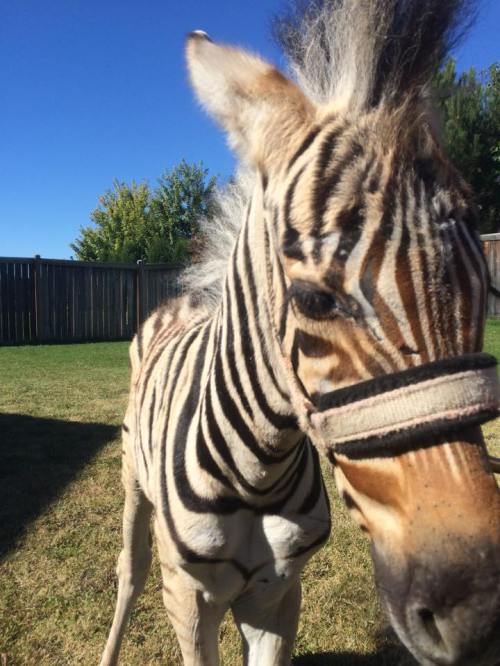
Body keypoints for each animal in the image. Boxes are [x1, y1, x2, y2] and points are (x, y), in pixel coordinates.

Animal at [100, 1, 500, 665]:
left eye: (485, 289)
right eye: (311, 299)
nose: (479, 617)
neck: (256, 472)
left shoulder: (279, 597)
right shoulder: (189, 601)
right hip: (134, 480)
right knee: (128, 572)